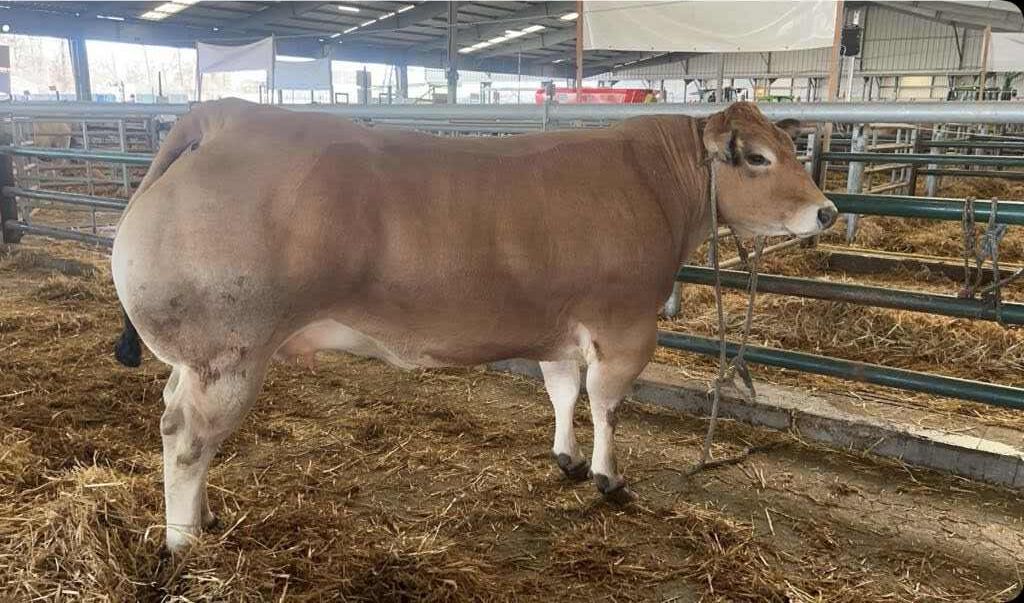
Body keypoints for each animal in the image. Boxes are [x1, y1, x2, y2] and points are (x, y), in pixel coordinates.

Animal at [111, 99, 837, 552]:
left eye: (789, 145)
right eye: (757, 158)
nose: (828, 211)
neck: (657, 180)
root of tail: (226, 114)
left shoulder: (557, 324)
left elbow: (563, 391)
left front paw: (568, 458)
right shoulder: (626, 324)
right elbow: (606, 404)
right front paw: (609, 476)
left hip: (197, 357)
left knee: (177, 419)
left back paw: (205, 516)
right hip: (228, 355)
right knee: (186, 439)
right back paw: (184, 540)